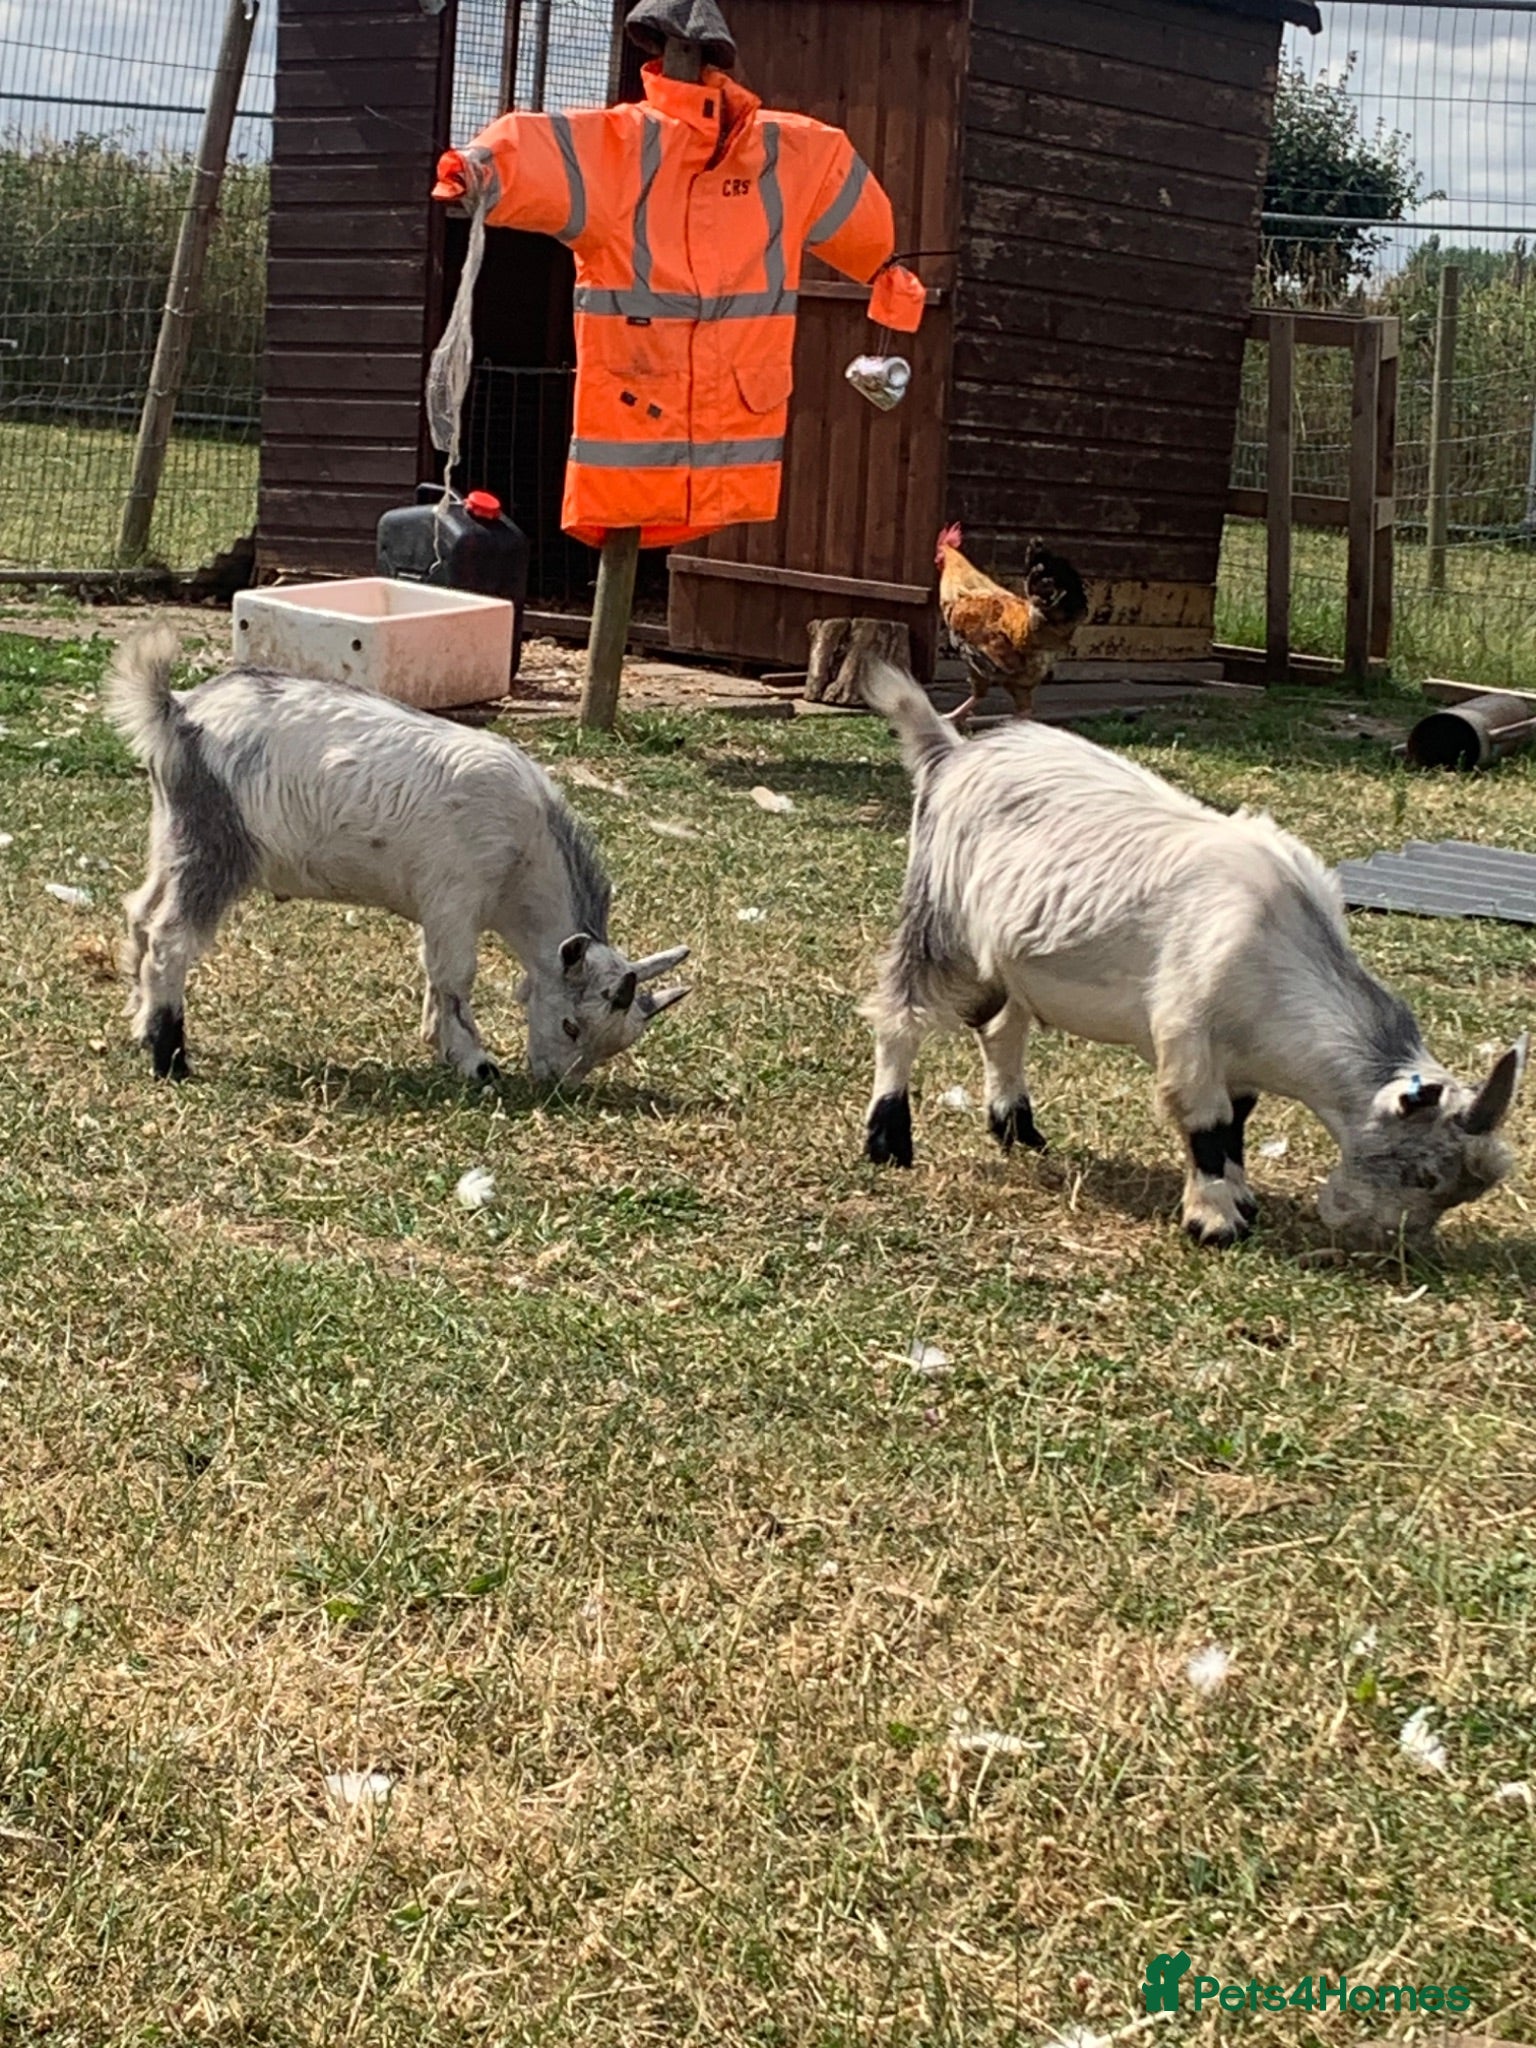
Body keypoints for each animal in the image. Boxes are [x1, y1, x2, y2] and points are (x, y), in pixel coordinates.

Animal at [105, 629, 689, 1086]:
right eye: (572, 1024)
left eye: (612, 1046)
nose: (555, 1084)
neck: (523, 850)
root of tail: (180, 713)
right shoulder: (455, 899)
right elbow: (455, 978)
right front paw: (476, 1063)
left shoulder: (438, 912)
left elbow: (434, 974)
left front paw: (441, 1045)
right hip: (218, 847)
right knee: (170, 938)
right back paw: (171, 1057)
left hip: (174, 835)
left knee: (140, 913)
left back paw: (141, 1026)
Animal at [859, 660, 1525, 1249]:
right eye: (1422, 1173)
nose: (1386, 1243)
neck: (1279, 942)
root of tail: (952, 752)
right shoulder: (1188, 1033)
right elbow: (1206, 1125)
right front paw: (1215, 1221)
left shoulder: (1241, 1059)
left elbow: (1236, 1126)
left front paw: (1243, 1198)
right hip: (939, 923)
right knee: (899, 1018)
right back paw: (888, 1140)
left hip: (1012, 955)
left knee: (1001, 1029)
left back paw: (1017, 1129)